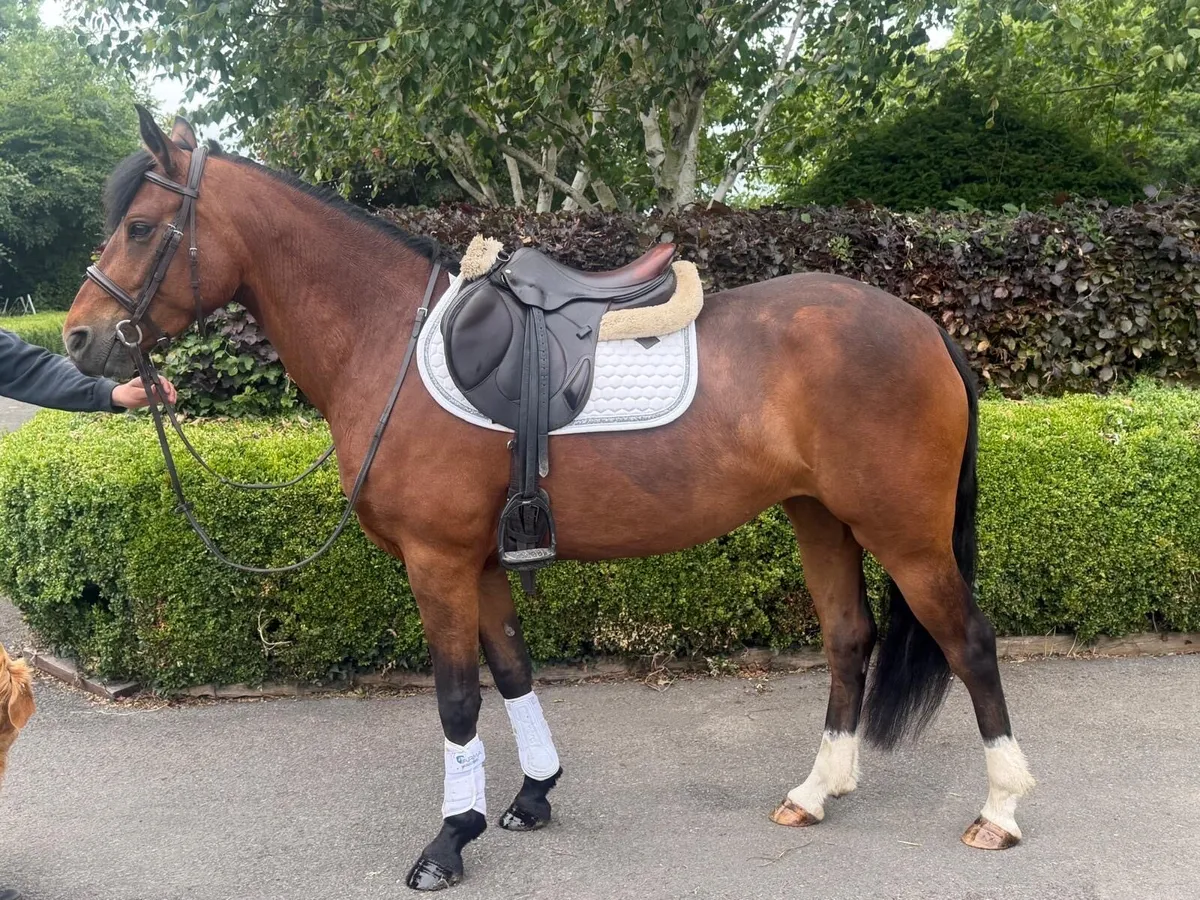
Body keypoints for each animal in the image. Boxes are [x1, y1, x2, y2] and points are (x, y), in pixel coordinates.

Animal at [64, 107, 1034, 891]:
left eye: (142, 227)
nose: (79, 338)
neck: (387, 341)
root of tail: (921, 326)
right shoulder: (482, 559)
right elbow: (514, 670)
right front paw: (531, 796)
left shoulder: (437, 562)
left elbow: (458, 696)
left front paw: (447, 842)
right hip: (821, 518)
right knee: (848, 640)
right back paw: (816, 790)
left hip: (904, 532)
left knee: (970, 641)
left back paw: (1000, 809)